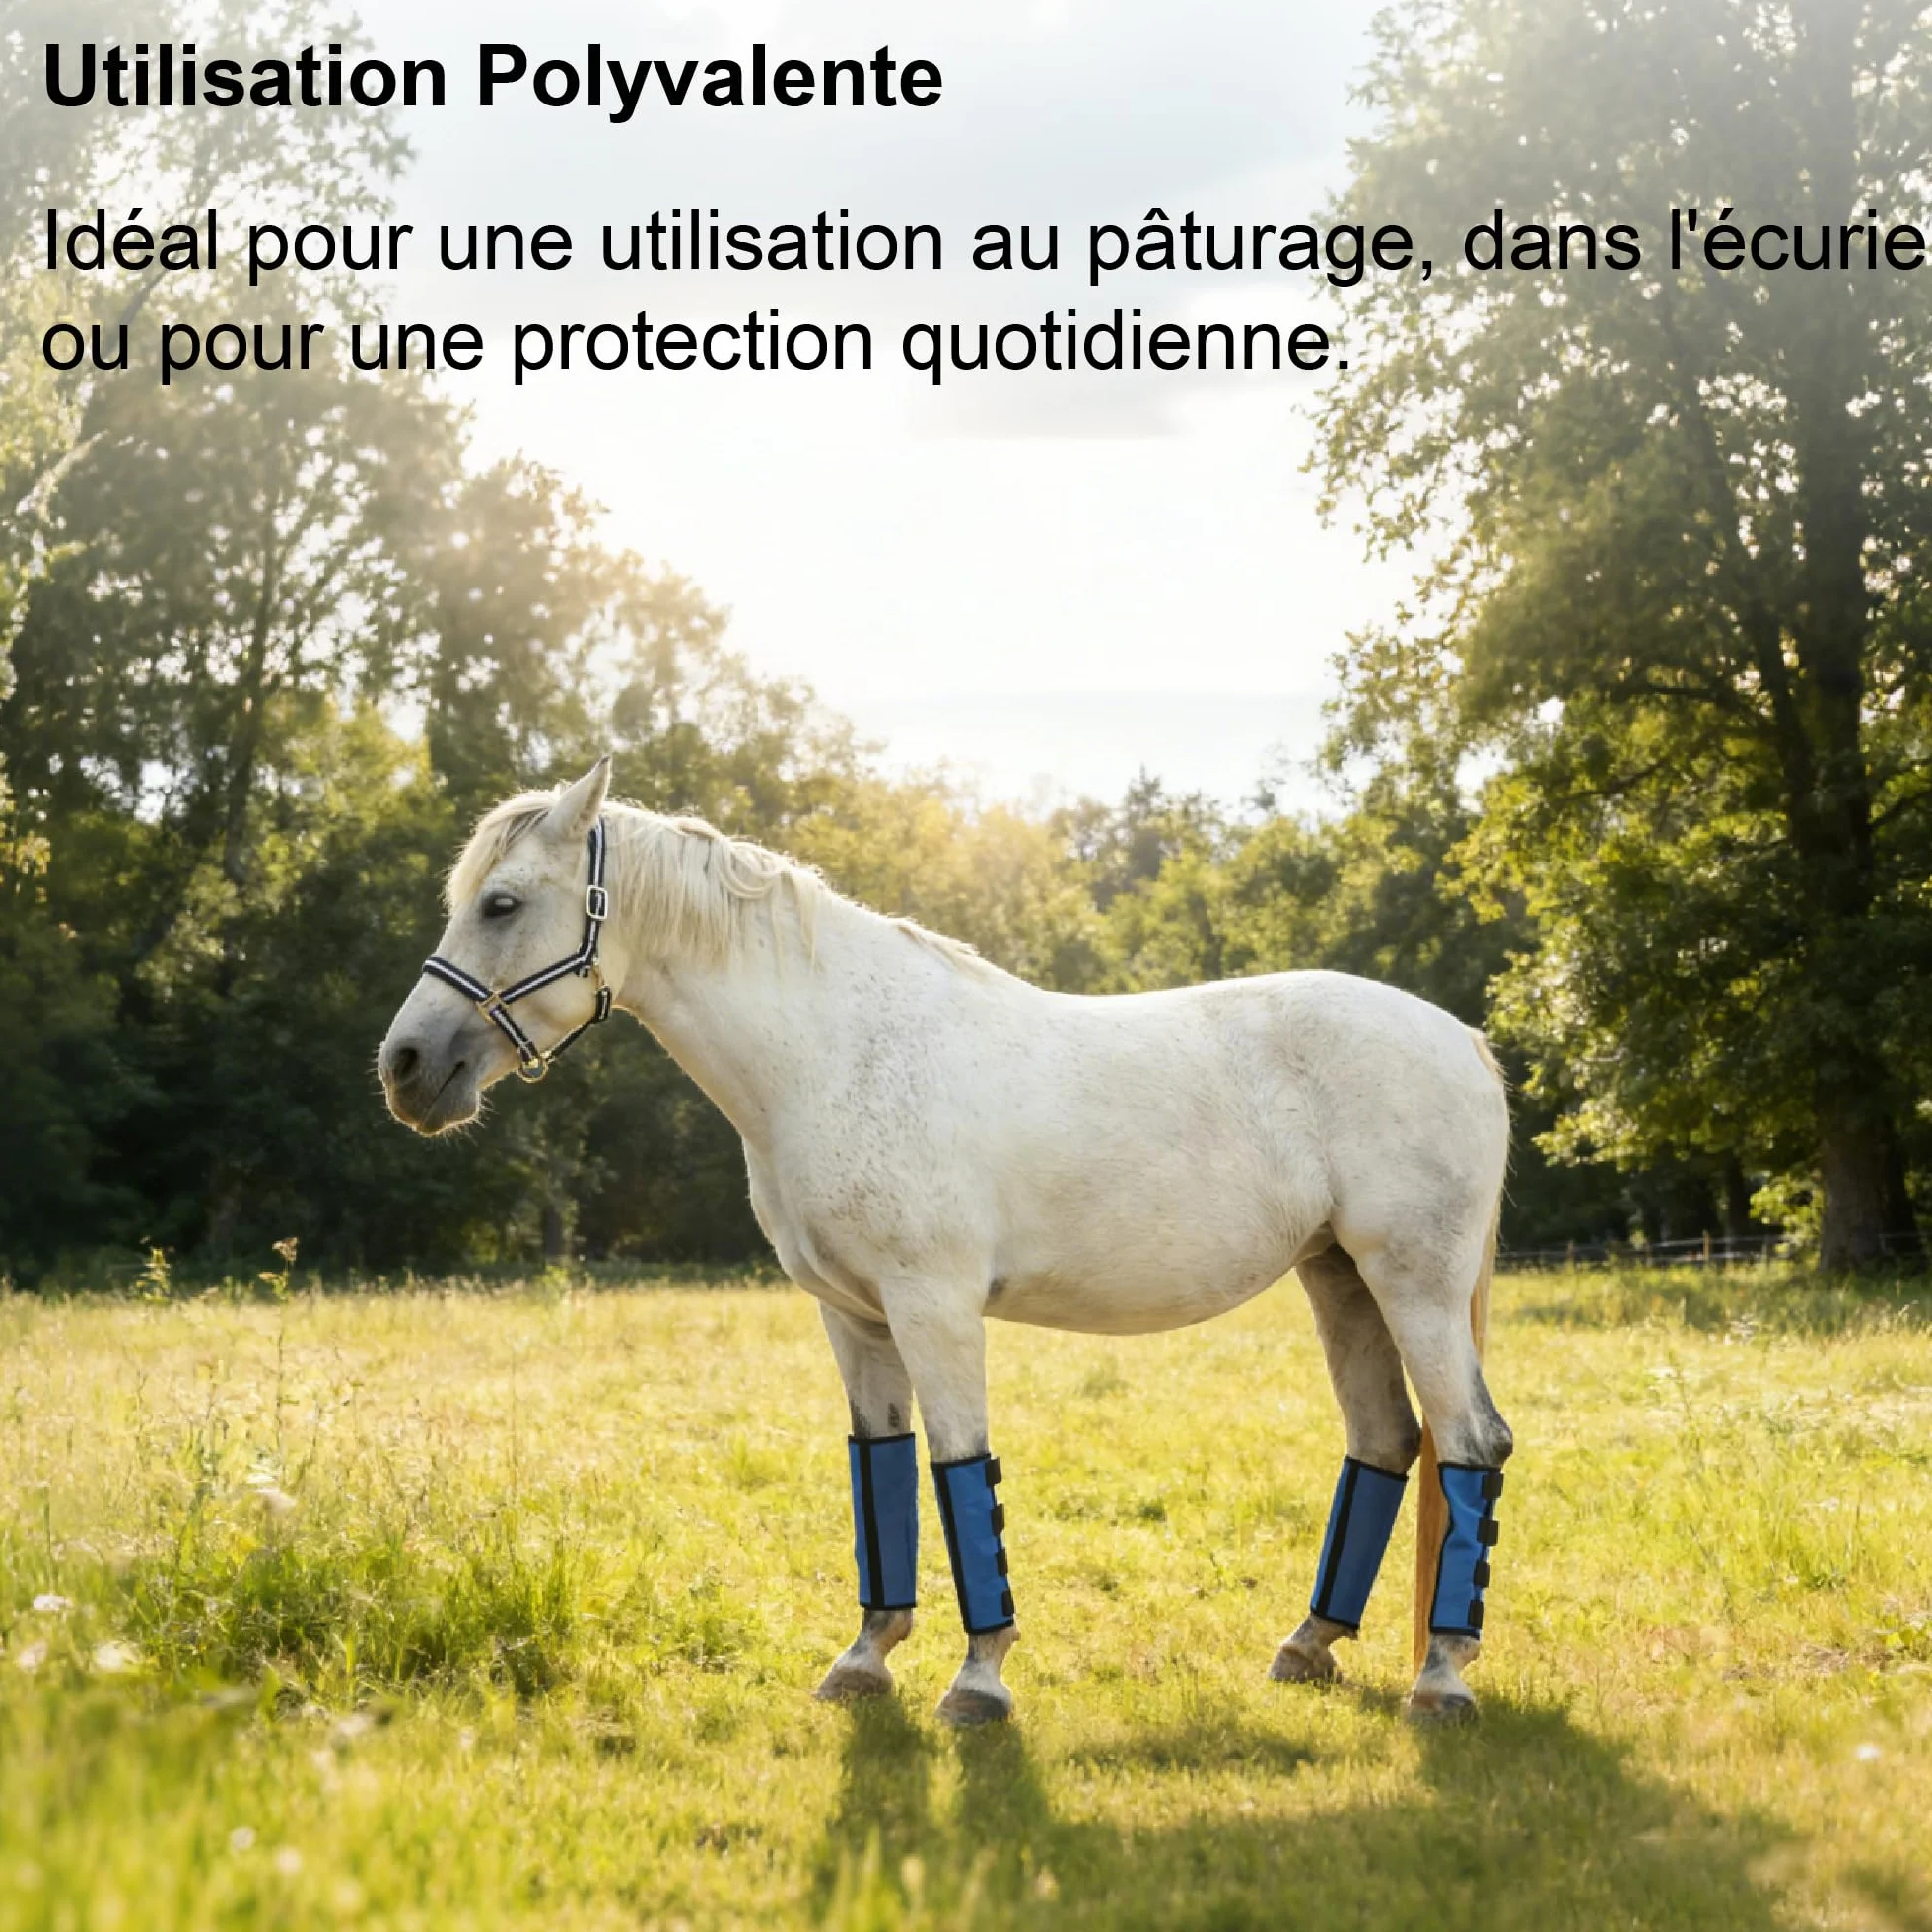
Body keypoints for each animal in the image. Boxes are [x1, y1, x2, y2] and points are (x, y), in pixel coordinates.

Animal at [378, 761, 1514, 1725]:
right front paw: (864, 1660)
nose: (406, 1067)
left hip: (1411, 1286)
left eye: (502, 903)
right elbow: (880, 1470)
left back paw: (1441, 1679)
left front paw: (977, 1680)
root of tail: (1461, 1039)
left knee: (1469, 1443)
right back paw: (1310, 1645)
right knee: (1386, 1440)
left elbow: (961, 1468)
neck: (833, 1051)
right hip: (1339, 1280)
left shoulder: (934, 1307)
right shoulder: (854, 1317)